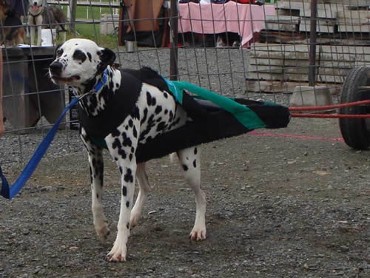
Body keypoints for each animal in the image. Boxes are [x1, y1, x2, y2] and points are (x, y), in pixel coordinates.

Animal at [47, 38, 207, 262]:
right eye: (59, 52)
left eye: (79, 55)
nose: (54, 66)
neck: (103, 97)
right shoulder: (95, 160)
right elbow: (95, 201)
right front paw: (101, 227)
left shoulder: (125, 166)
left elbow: (122, 214)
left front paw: (119, 248)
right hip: (138, 162)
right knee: (146, 187)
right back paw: (135, 216)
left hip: (187, 166)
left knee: (201, 196)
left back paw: (199, 228)